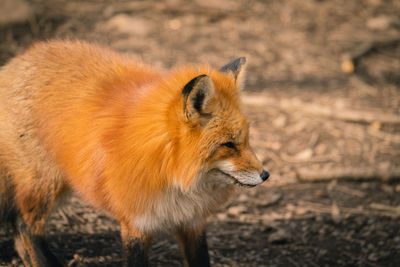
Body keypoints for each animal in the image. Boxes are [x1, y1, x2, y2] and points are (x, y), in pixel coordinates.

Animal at [0, 40, 270, 267]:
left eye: (246, 140)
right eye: (229, 145)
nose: (266, 175)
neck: (172, 174)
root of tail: (14, 62)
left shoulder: (192, 221)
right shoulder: (135, 222)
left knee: (16, 225)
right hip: (44, 184)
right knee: (25, 225)